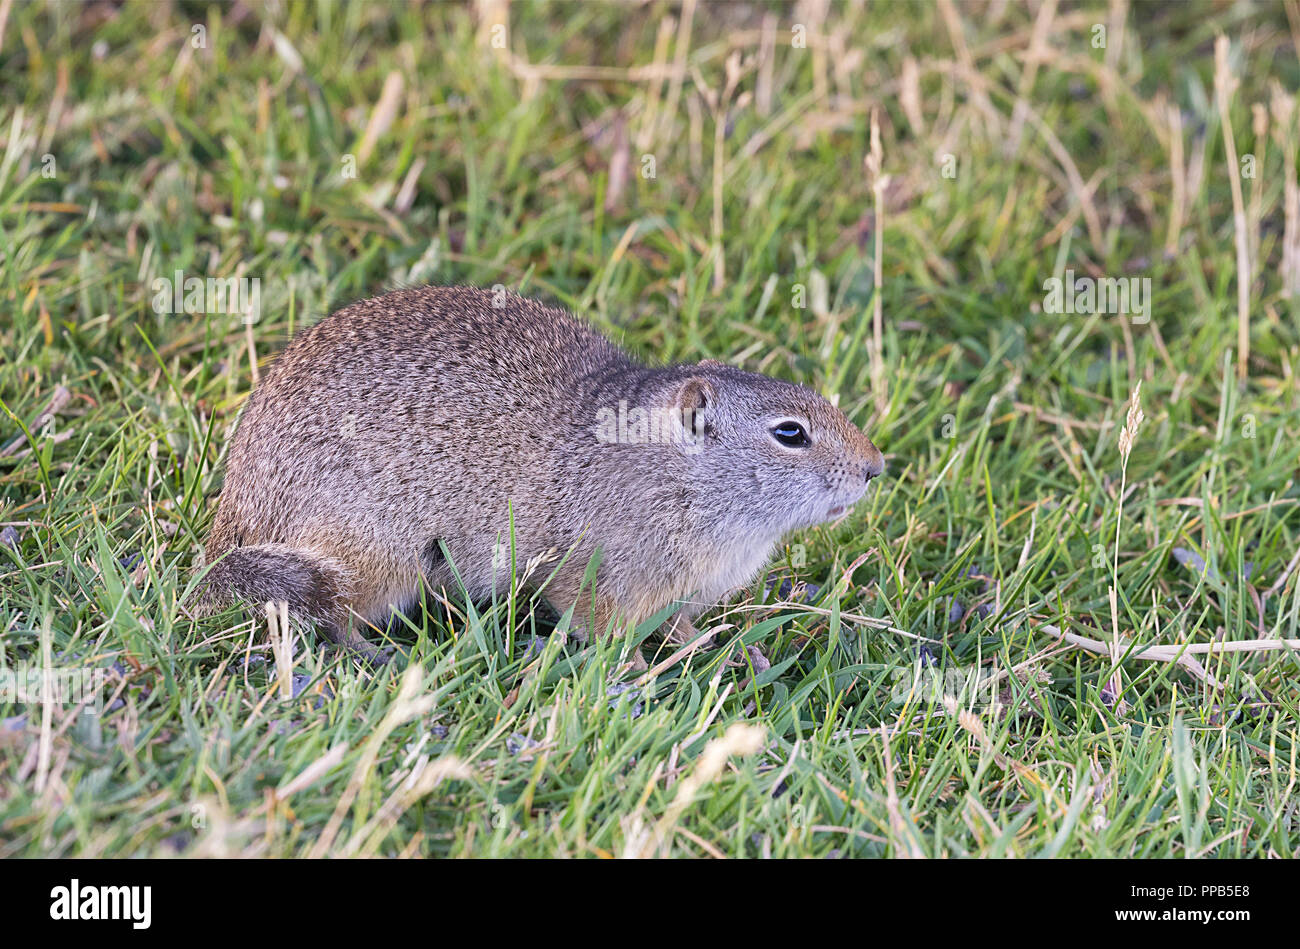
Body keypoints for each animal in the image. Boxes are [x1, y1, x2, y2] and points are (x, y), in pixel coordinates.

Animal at [196, 286, 885, 664]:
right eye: (790, 433)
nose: (875, 467)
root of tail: (235, 516)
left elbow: (683, 627)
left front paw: (729, 650)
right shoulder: (587, 574)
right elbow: (604, 630)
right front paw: (638, 674)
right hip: (373, 556)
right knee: (332, 617)